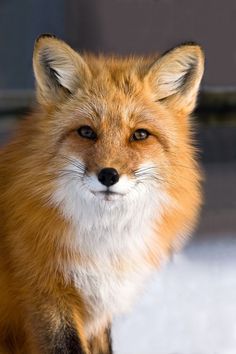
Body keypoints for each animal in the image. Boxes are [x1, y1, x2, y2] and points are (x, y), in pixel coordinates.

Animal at [0, 34, 204, 354]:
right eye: (86, 132)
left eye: (140, 135)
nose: (108, 175)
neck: (104, 243)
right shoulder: (46, 296)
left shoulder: (98, 308)